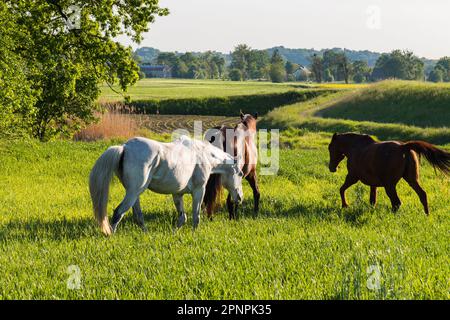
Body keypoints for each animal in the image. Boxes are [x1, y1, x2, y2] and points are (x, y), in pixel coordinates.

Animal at [88, 135, 243, 235]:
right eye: (241, 174)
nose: (240, 198)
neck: (202, 155)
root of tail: (124, 147)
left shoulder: (177, 194)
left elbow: (182, 217)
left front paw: (174, 233)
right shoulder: (199, 191)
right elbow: (196, 216)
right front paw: (194, 234)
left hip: (134, 194)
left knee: (138, 216)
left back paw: (146, 234)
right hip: (133, 193)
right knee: (118, 212)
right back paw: (111, 236)